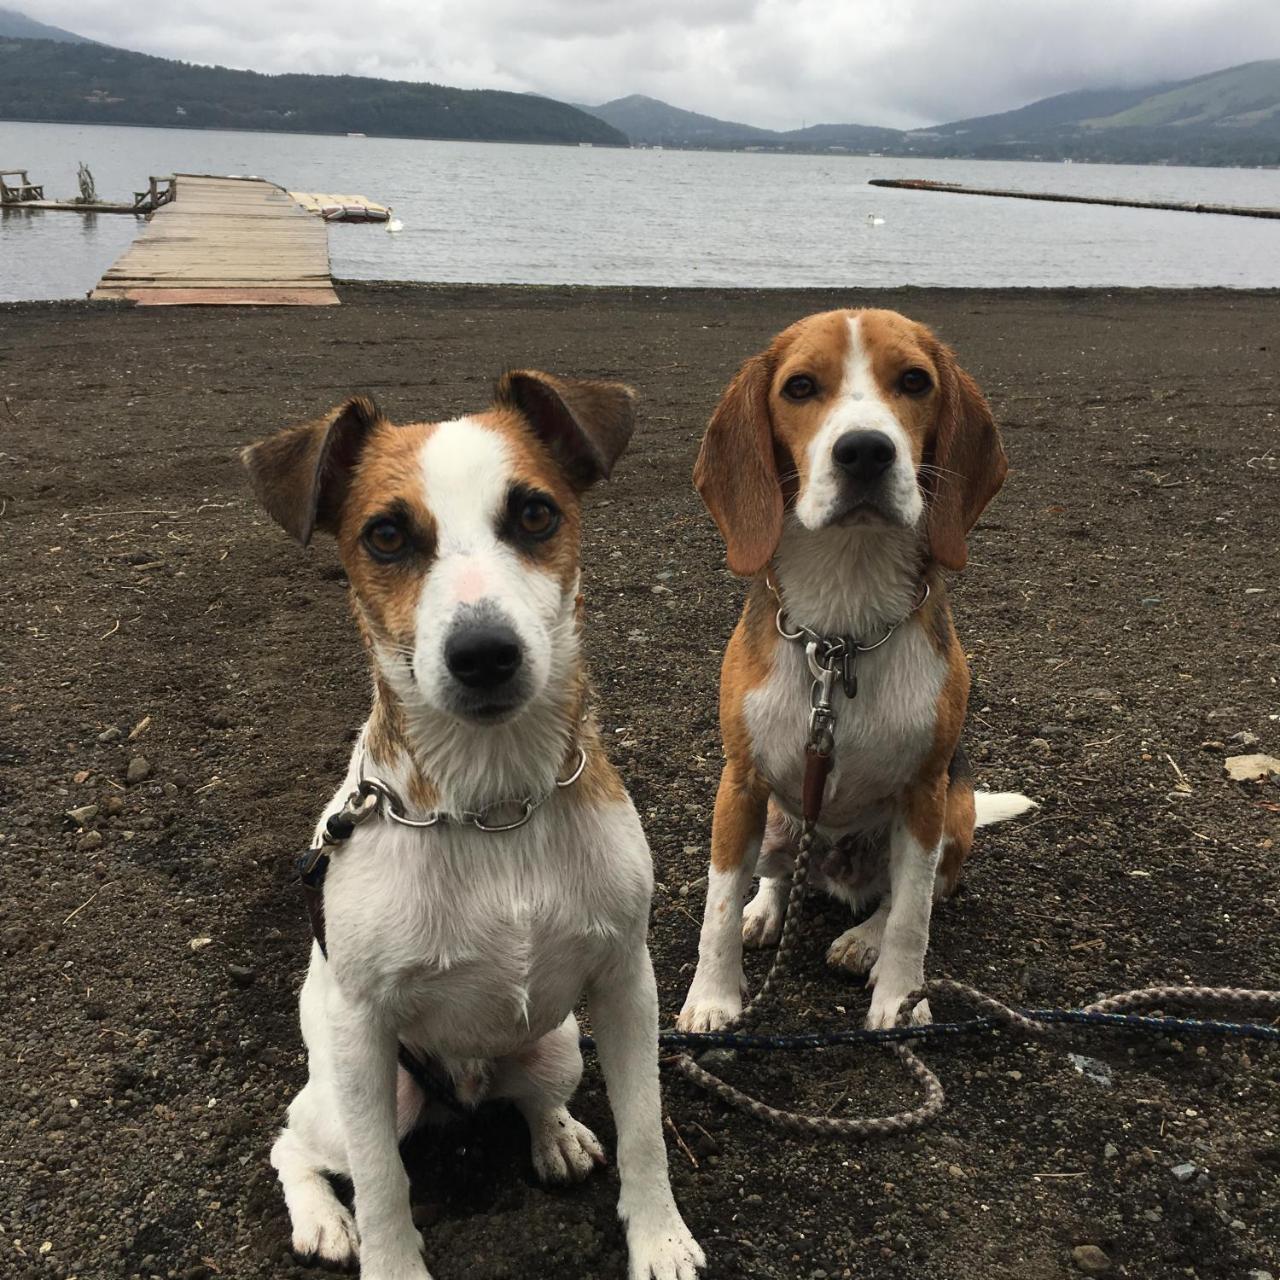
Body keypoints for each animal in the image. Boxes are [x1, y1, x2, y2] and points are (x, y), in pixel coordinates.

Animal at [240, 373, 701, 1280]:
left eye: (535, 514)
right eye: (385, 535)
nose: (484, 654)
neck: (492, 804)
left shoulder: (625, 982)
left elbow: (645, 1130)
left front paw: (659, 1237)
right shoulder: (361, 1032)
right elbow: (383, 1185)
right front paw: (390, 1263)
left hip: (559, 1042)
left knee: (532, 1097)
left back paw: (555, 1134)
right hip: (367, 1092)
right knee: (295, 1145)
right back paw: (322, 1218)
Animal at [680, 312, 1029, 1039]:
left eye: (915, 381)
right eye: (800, 387)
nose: (865, 451)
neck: (843, 627)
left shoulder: (925, 794)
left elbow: (912, 918)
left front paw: (901, 1001)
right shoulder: (740, 783)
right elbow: (717, 905)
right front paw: (712, 998)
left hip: (952, 816)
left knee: (904, 896)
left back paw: (861, 939)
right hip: (779, 821)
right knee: (783, 875)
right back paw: (768, 910)